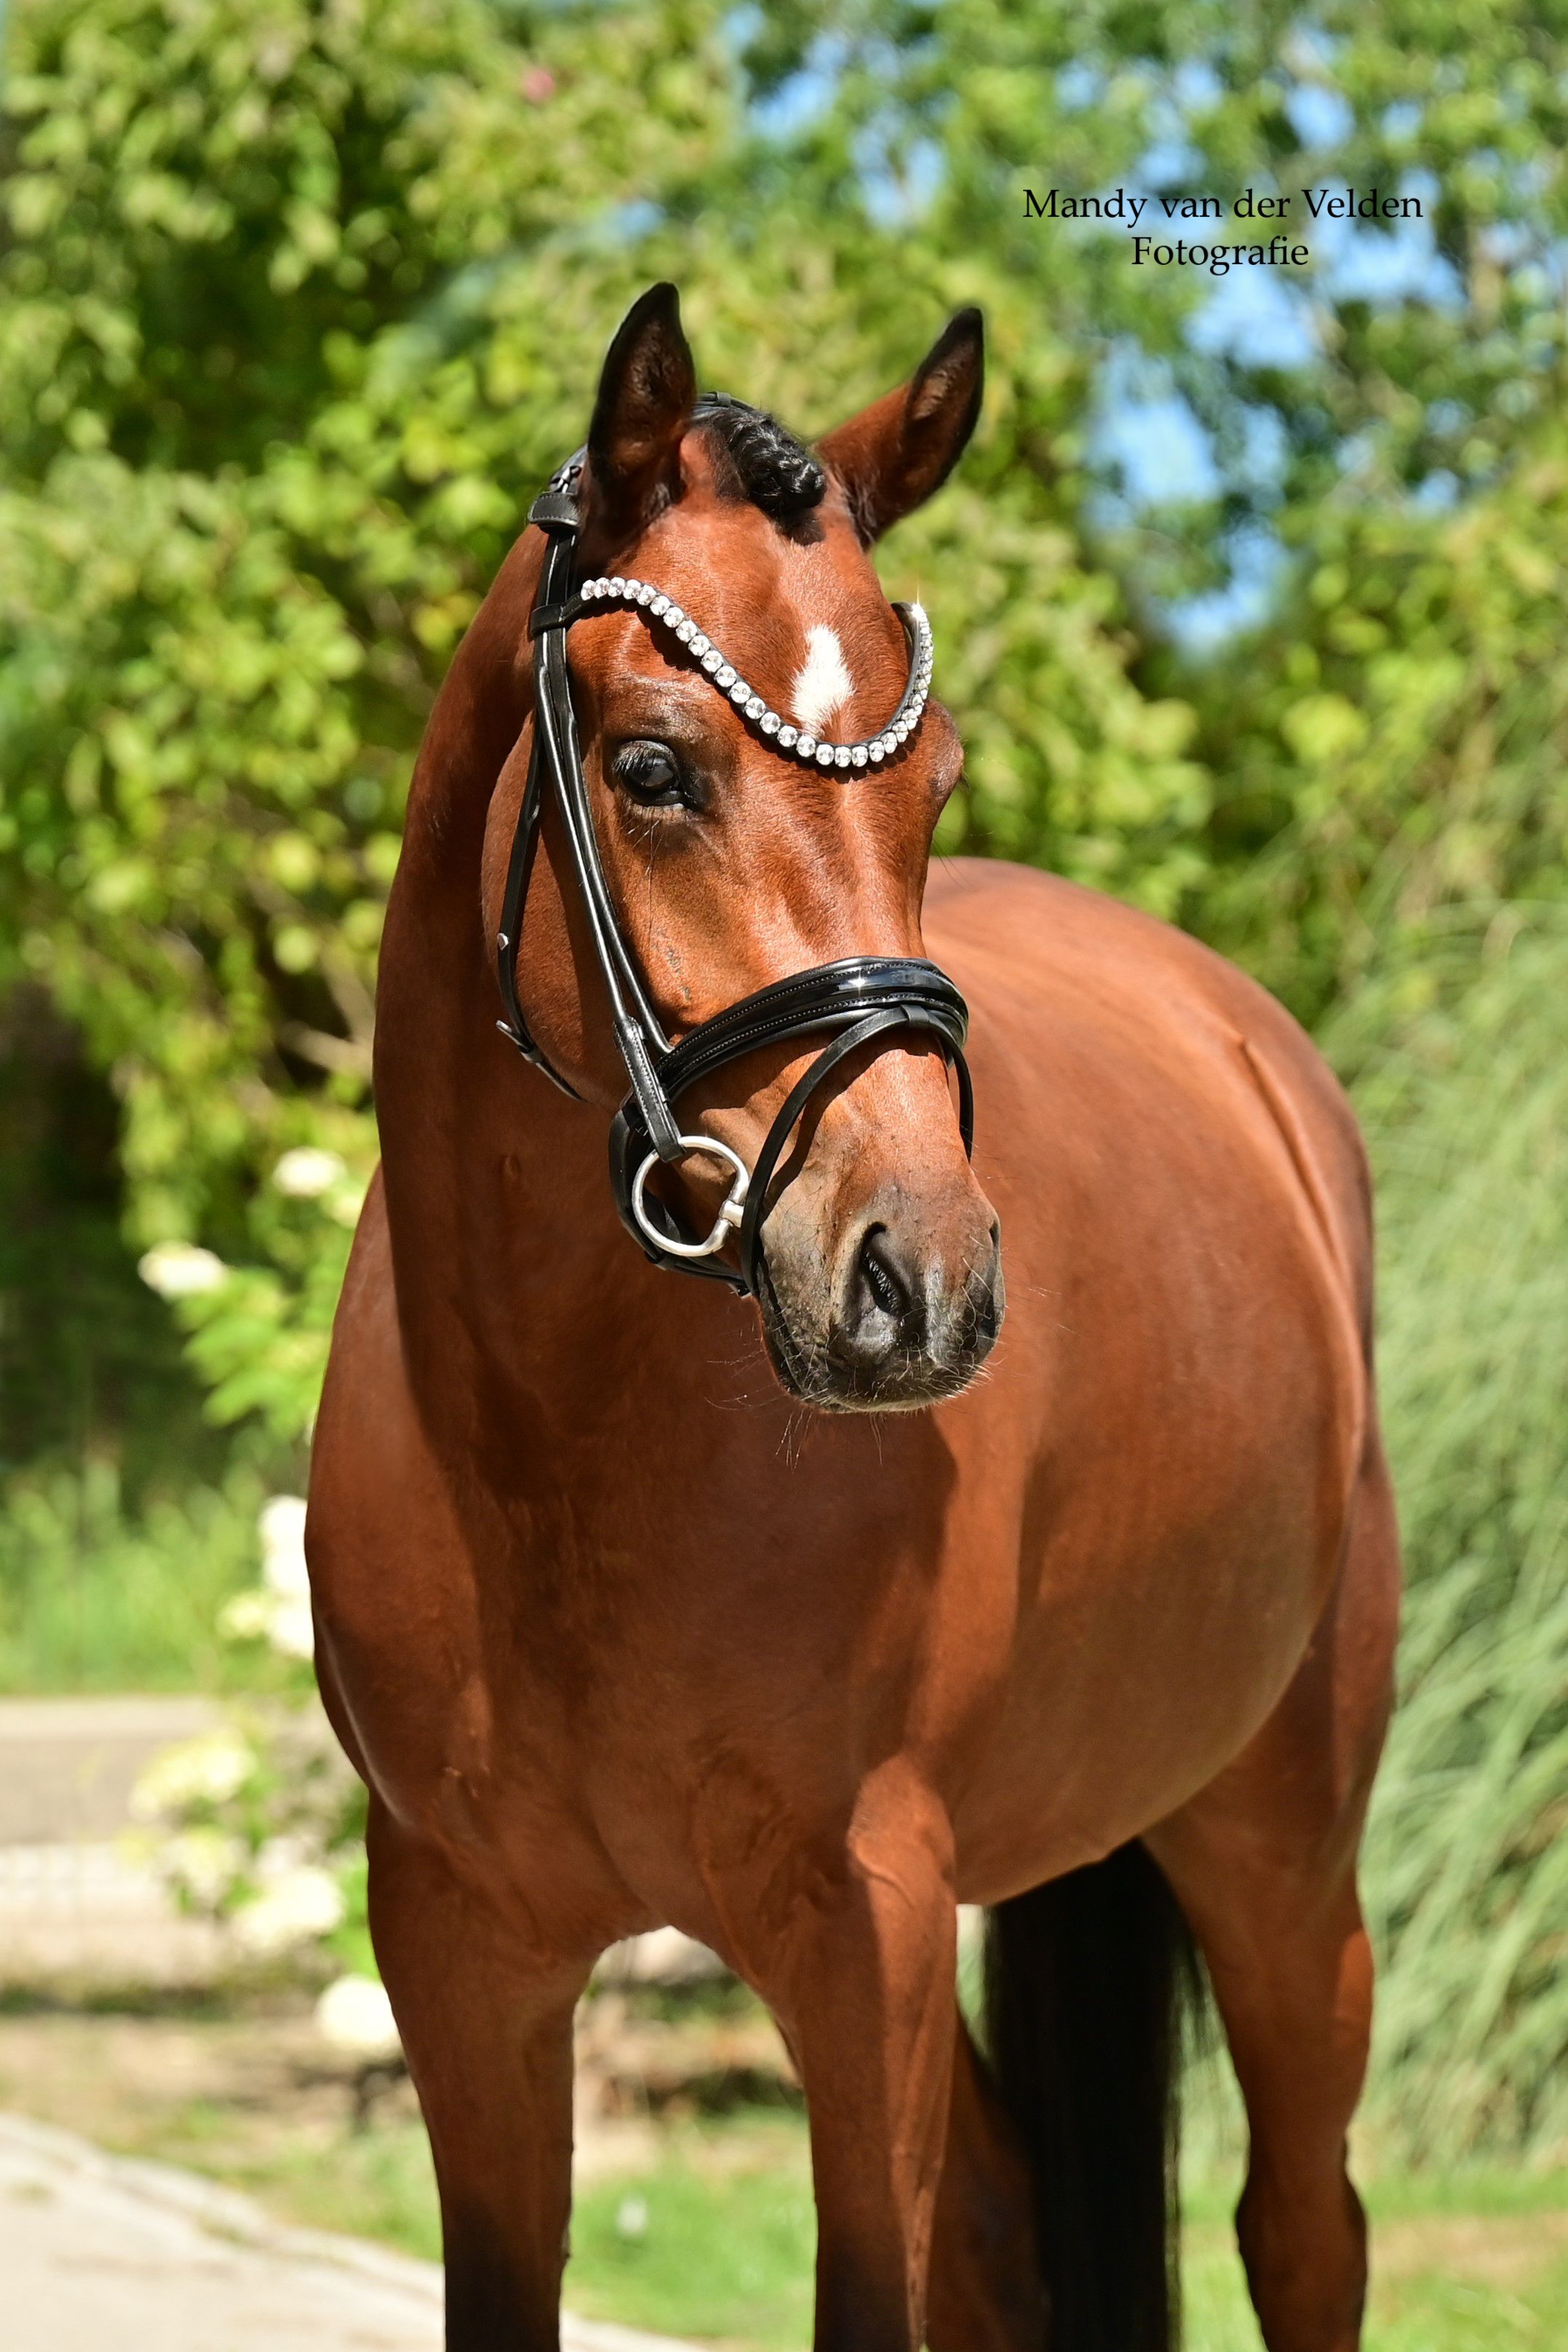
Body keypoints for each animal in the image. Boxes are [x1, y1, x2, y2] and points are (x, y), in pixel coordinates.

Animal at [307, 283, 1400, 2352]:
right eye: (652, 768)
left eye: (931, 774)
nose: (923, 1282)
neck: (549, 1459)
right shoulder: (463, 1955)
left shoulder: (865, 1927)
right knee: (1004, 2220)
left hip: (1279, 1854)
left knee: (1305, 2228)